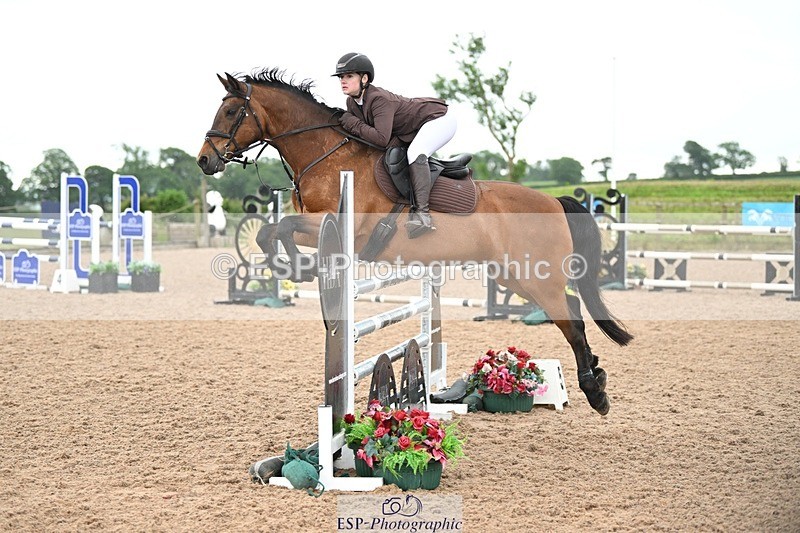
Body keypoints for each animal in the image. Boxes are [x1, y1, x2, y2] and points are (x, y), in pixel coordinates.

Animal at [196, 68, 633, 415]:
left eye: (231, 112)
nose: (204, 160)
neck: (325, 155)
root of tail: (554, 201)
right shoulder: (319, 226)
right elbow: (272, 231)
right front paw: (291, 267)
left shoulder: (341, 226)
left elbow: (282, 226)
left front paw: (296, 268)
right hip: (513, 275)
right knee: (572, 309)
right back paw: (597, 376)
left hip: (534, 277)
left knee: (571, 319)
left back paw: (595, 392)